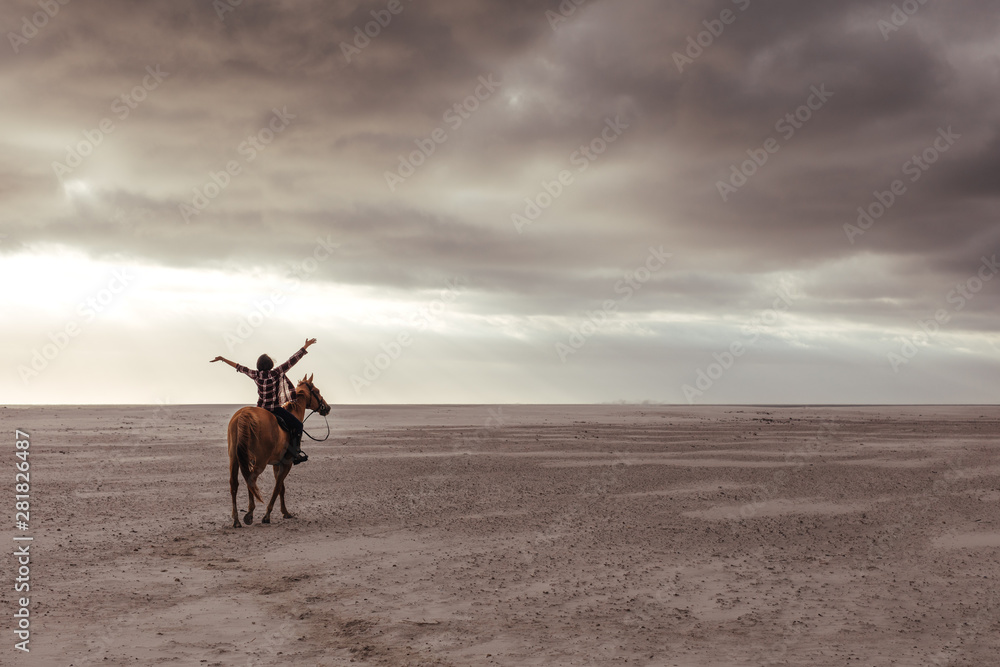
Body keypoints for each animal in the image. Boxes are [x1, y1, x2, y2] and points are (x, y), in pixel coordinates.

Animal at [226, 374, 328, 528]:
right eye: (317, 390)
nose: (327, 408)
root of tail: (245, 414)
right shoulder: (287, 463)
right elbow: (277, 486)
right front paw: (267, 515)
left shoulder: (276, 464)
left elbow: (281, 488)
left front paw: (285, 512)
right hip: (260, 462)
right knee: (251, 479)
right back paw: (249, 514)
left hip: (235, 458)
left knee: (235, 483)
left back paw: (237, 519)